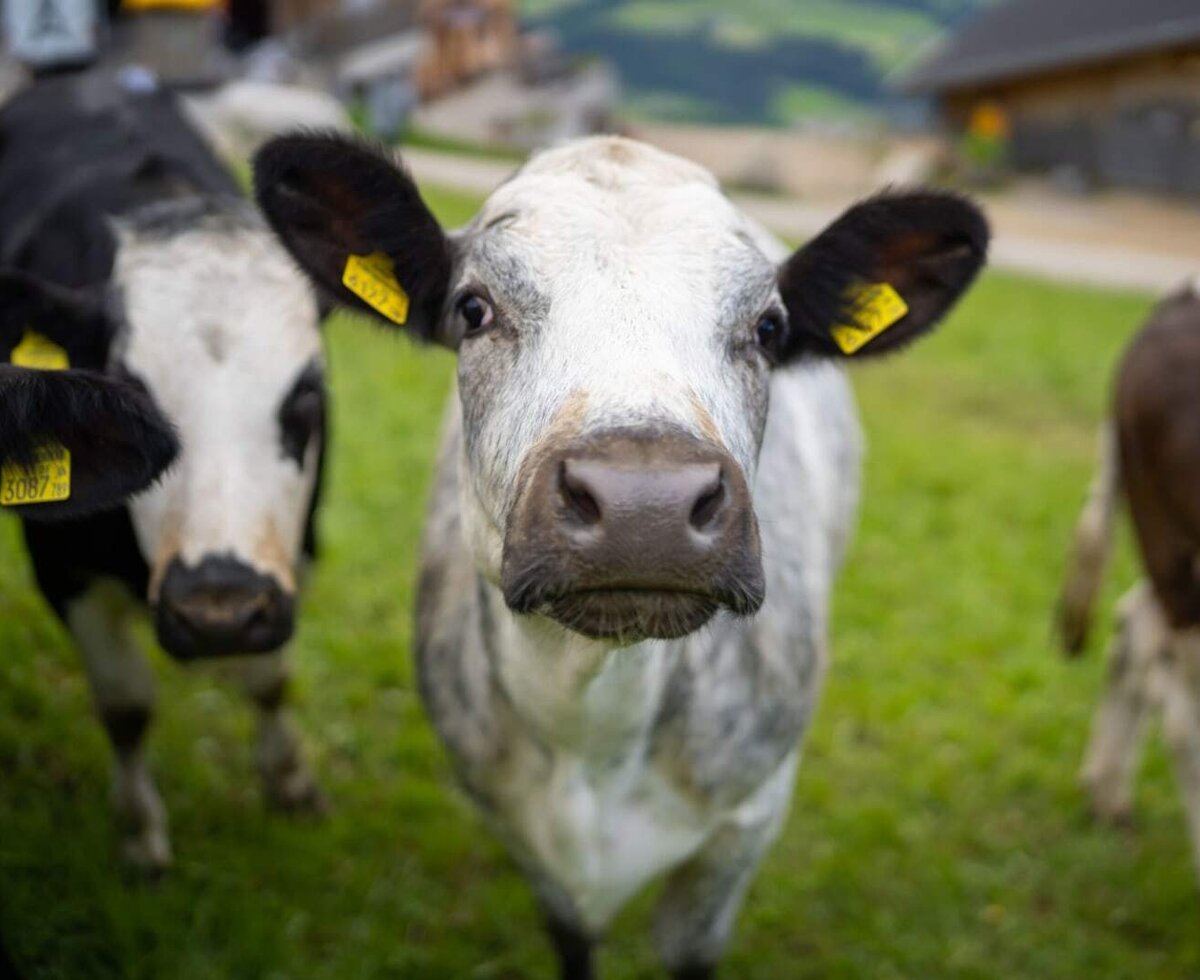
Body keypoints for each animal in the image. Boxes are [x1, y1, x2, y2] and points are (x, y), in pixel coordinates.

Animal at [0, 71, 328, 872]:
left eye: (307, 397)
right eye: (131, 396)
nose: (219, 612)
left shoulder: (295, 547)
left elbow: (271, 679)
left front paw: (290, 779)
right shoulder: (64, 570)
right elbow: (125, 704)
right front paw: (140, 833)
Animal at [255, 133, 988, 976]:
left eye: (769, 329)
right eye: (474, 309)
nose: (647, 506)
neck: (592, 733)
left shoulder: (745, 825)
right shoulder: (516, 825)